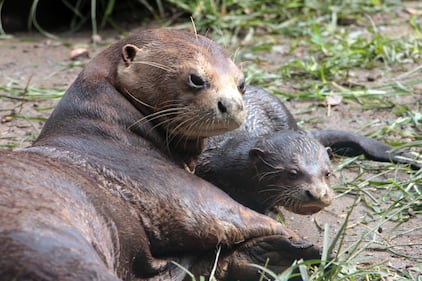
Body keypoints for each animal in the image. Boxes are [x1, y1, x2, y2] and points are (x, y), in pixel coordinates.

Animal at [0, 29, 322, 280]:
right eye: (196, 79)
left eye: (241, 83)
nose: (231, 104)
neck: (110, 129)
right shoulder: (174, 188)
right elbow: (233, 215)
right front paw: (292, 234)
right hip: (52, 245)